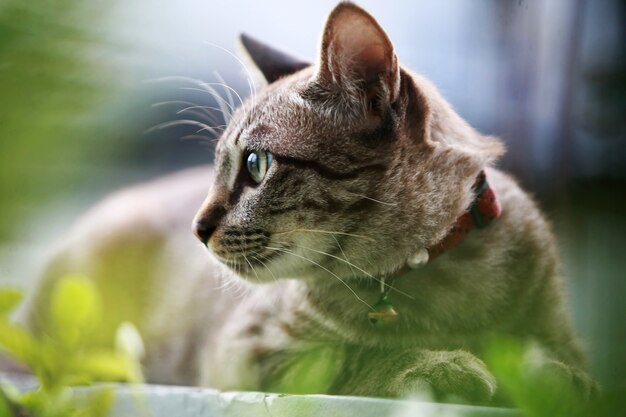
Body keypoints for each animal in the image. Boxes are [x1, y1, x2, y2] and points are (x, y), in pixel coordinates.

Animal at [20, 0, 596, 404]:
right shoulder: (252, 350)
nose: (197, 228)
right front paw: (446, 365)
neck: (432, 274)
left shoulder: (563, 336)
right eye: (221, 167)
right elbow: (358, 356)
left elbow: (554, 363)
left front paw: (545, 375)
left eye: (256, 165)